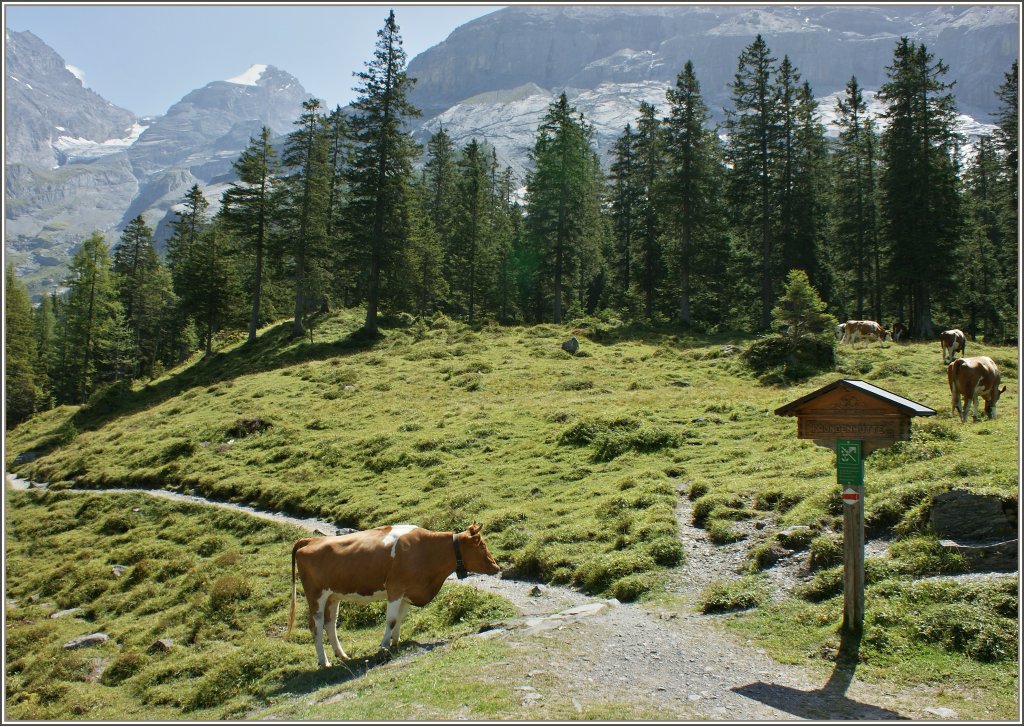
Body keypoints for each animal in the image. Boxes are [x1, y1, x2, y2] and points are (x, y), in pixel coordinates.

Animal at [288, 520, 499, 667]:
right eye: (481, 545)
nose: (496, 567)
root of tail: (311, 540)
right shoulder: (395, 589)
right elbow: (390, 620)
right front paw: (384, 646)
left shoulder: (407, 592)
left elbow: (399, 618)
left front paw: (396, 642)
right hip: (316, 595)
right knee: (316, 625)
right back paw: (325, 662)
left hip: (333, 596)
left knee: (330, 624)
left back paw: (343, 655)